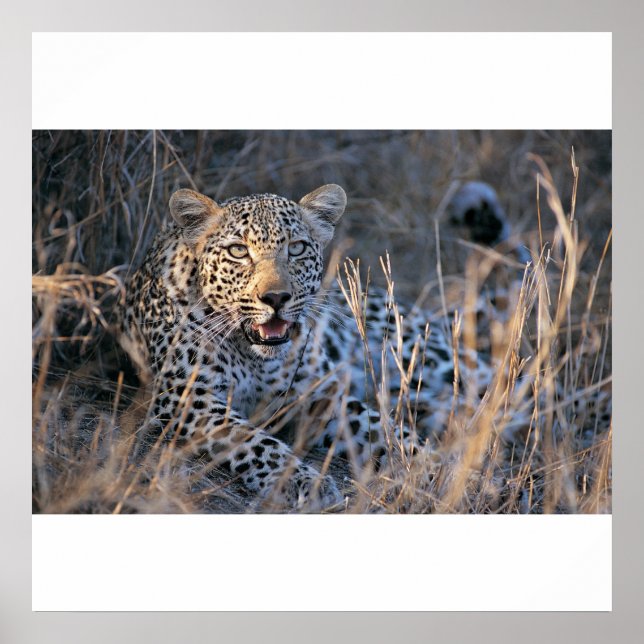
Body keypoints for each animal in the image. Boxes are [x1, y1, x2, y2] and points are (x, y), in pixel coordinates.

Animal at [119, 181, 527, 512]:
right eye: (238, 251)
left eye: (297, 248)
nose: (276, 297)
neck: (254, 357)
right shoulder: (186, 398)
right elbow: (252, 440)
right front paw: (302, 482)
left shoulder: (321, 396)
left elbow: (390, 432)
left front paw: (455, 477)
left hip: (424, 356)